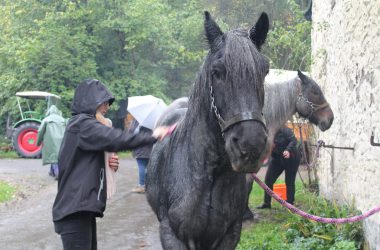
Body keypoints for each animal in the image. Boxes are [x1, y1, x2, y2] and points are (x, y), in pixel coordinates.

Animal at [146, 11, 270, 250]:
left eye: (265, 71)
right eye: (217, 72)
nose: (250, 146)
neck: (210, 174)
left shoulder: (229, 235)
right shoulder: (172, 235)